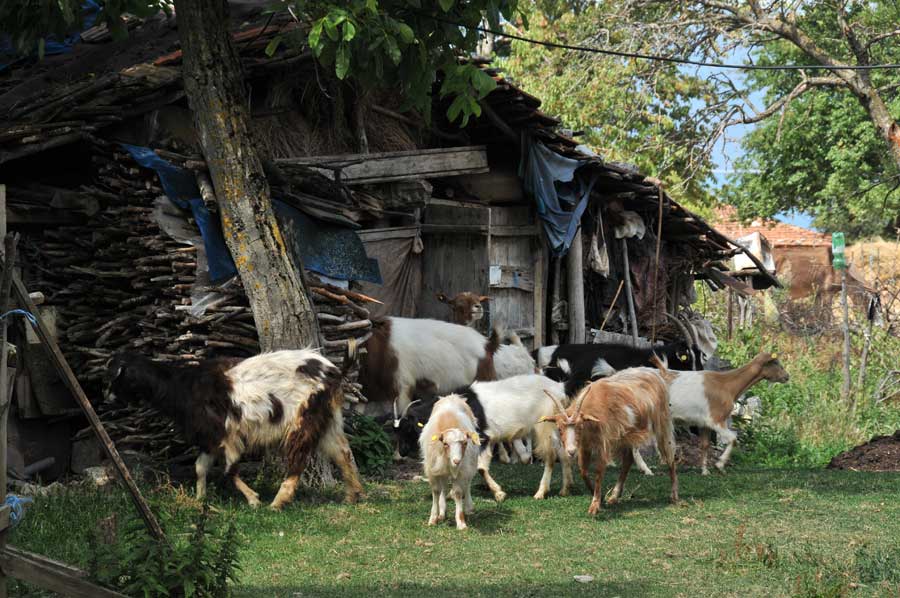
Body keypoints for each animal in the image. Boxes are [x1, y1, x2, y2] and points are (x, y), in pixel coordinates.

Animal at [103, 350, 364, 510]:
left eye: (115, 376)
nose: (107, 397)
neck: (184, 386)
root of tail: (334, 372)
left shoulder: (227, 434)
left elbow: (229, 470)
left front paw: (254, 500)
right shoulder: (209, 437)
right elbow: (200, 467)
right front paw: (200, 498)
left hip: (303, 420)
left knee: (298, 460)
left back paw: (277, 503)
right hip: (328, 420)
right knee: (343, 453)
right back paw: (352, 495)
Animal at [400, 374, 572, 501]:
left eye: (408, 428)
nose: (402, 452)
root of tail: (559, 388)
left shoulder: (482, 438)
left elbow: (481, 468)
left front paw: (499, 493)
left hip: (545, 426)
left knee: (551, 456)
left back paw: (541, 492)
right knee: (563, 453)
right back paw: (565, 489)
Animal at [420, 394, 481, 529]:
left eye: (465, 443)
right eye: (445, 444)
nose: (457, 460)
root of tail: (452, 396)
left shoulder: (461, 471)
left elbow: (458, 493)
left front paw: (461, 522)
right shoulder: (432, 470)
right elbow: (436, 491)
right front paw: (433, 518)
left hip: (470, 465)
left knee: (467, 484)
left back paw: (468, 507)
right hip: (442, 470)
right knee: (443, 487)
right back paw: (442, 513)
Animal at [541, 358, 678, 516]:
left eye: (580, 427)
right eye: (559, 428)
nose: (570, 451)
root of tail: (655, 373)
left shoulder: (603, 441)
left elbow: (599, 471)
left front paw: (594, 505)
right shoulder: (585, 445)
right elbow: (583, 471)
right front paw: (599, 498)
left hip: (662, 422)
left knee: (669, 453)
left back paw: (674, 496)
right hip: (626, 434)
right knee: (628, 460)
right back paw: (614, 496)